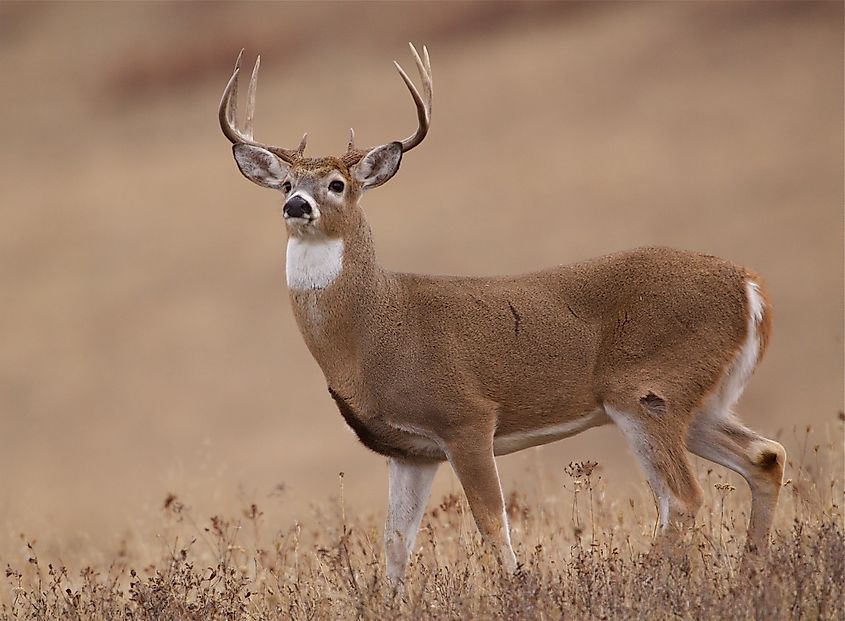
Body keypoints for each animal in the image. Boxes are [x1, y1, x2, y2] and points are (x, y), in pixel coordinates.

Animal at [218, 44, 785, 586]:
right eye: (285, 182)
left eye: (337, 184)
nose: (296, 205)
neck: (374, 330)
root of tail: (750, 286)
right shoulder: (411, 450)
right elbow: (396, 544)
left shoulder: (466, 416)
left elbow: (492, 523)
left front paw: (519, 587)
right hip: (699, 400)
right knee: (765, 457)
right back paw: (751, 572)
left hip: (648, 390)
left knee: (682, 498)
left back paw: (651, 580)